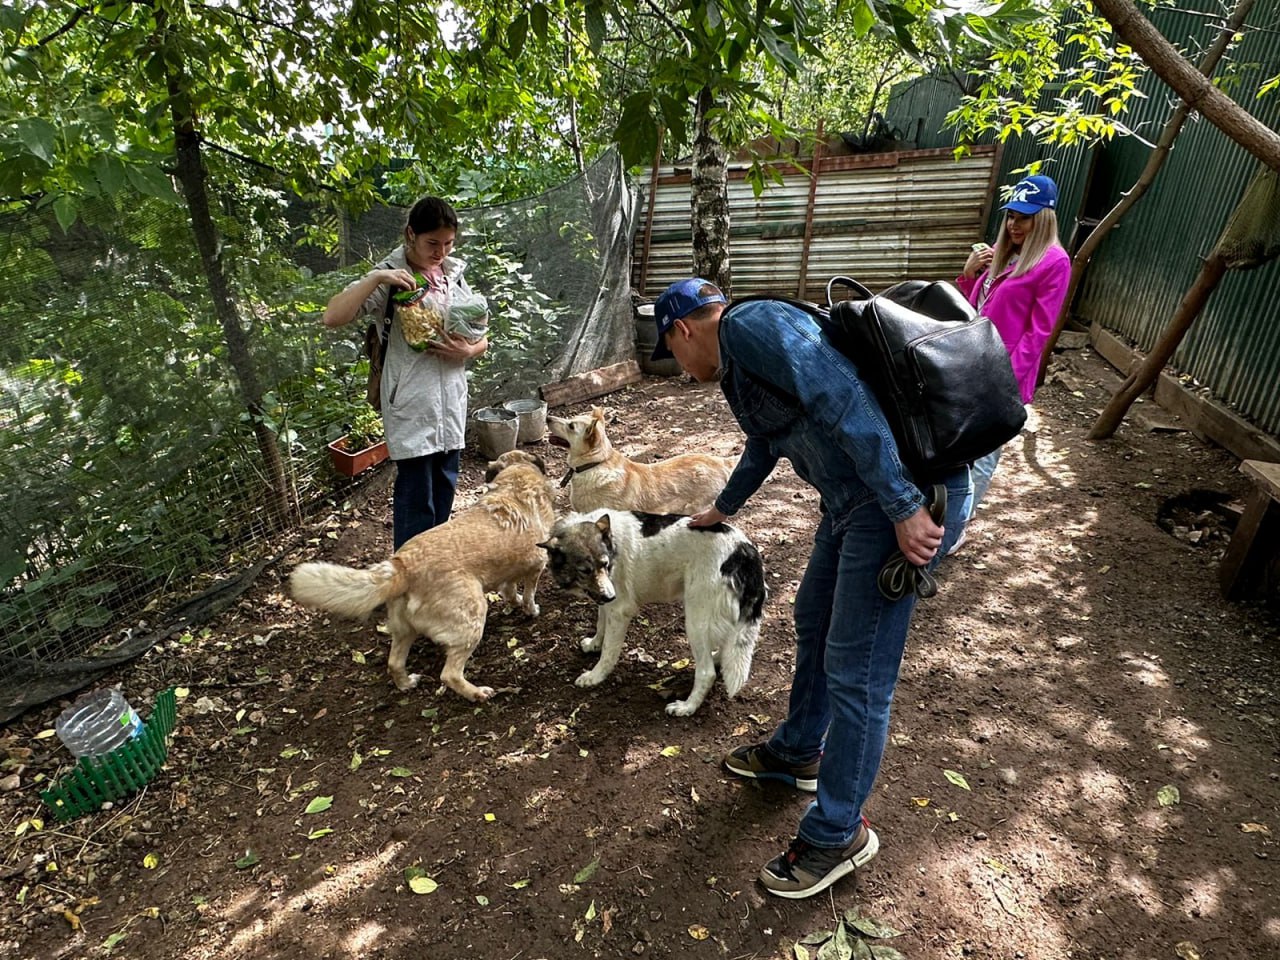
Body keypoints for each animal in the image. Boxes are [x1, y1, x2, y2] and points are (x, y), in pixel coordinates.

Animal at [293, 450, 558, 706]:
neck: (515, 483)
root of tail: (404, 565)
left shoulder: (511, 571)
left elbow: (511, 590)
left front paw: (514, 604)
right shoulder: (537, 564)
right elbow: (529, 594)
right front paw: (531, 610)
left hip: (404, 629)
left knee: (394, 663)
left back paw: (406, 683)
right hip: (473, 616)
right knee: (449, 674)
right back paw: (477, 693)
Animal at [535, 512, 762, 716]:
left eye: (605, 564)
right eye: (584, 570)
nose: (610, 595)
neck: (613, 544)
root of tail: (745, 551)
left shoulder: (619, 610)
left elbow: (608, 651)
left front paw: (595, 675)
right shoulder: (605, 601)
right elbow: (600, 624)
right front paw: (593, 644)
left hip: (695, 620)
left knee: (706, 673)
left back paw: (686, 707)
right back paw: (717, 659)